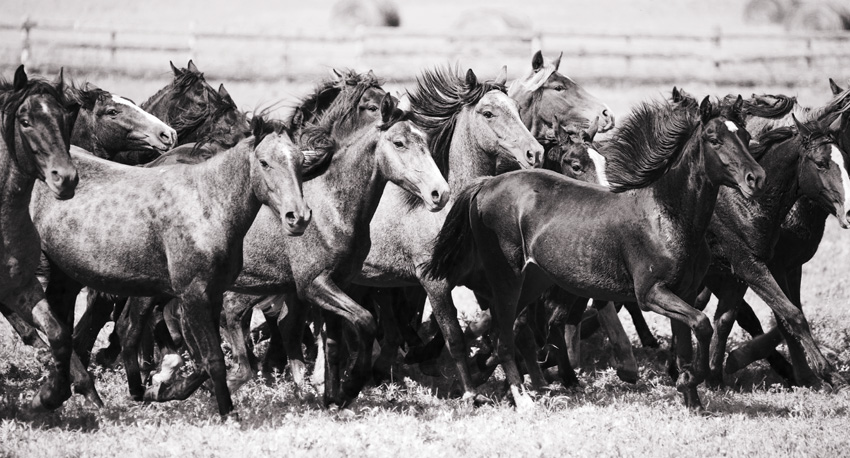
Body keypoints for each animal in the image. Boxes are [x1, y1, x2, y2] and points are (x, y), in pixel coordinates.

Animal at [0, 65, 99, 412]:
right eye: (25, 121)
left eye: (64, 118)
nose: (65, 178)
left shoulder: (21, 286)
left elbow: (58, 334)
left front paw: (49, 395)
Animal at [30, 116, 314, 416]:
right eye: (264, 162)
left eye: (299, 161)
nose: (298, 217)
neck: (207, 206)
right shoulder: (193, 295)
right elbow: (213, 358)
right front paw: (226, 411)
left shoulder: (212, 295)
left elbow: (203, 361)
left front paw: (160, 389)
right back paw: (65, 394)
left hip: (65, 277)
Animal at [424, 95, 760, 408]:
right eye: (714, 140)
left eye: (745, 137)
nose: (755, 178)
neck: (667, 215)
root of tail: (486, 184)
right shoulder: (651, 294)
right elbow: (702, 324)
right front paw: (690, 381)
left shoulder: (684, 293)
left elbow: (689, 340)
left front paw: (691, 397)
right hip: (507, 280)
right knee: (504, 337)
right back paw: (522, 399)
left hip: (533, 281)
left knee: (510, 331)